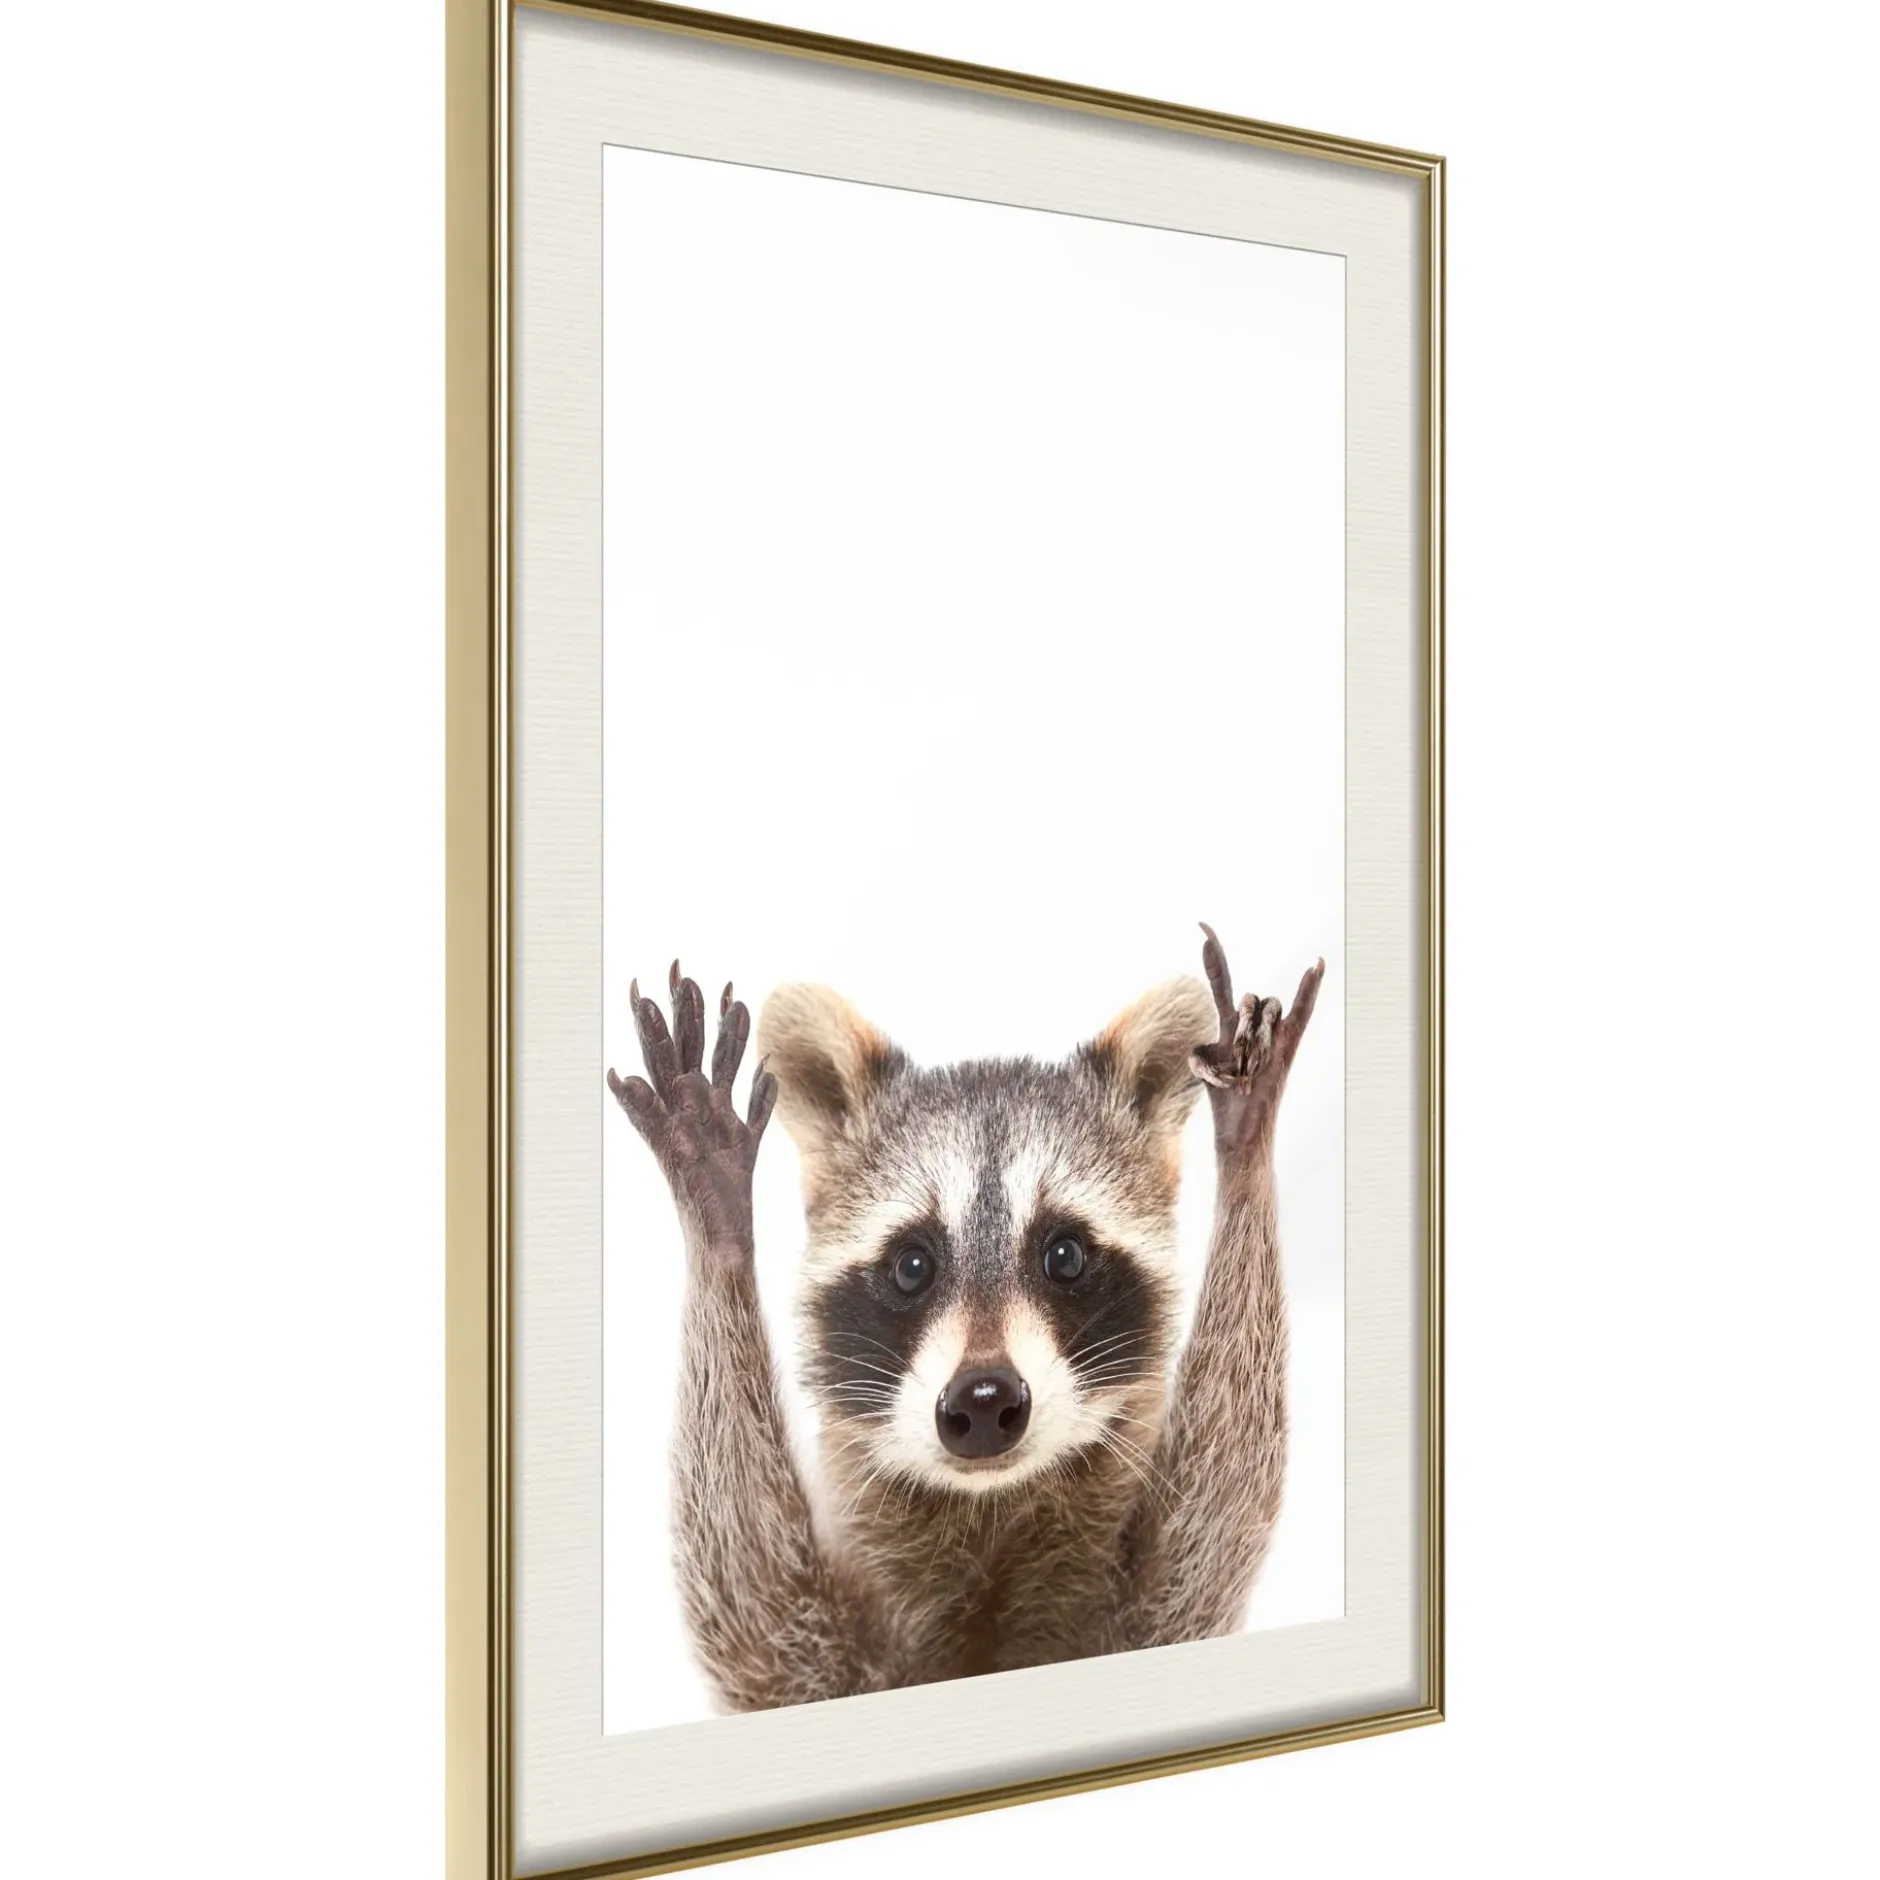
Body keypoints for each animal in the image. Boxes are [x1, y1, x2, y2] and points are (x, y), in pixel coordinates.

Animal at [606, 924, 1322, 1712]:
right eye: (911, 1266)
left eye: (1064, 1255)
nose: (983, 1399)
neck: (988, 1511)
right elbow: (754, 1614)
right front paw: (717, 1219)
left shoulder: (1145, 1620)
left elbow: (1211, 1529)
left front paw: (1247, 1148)